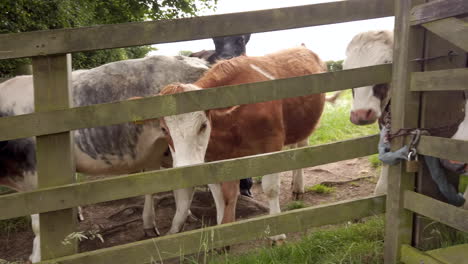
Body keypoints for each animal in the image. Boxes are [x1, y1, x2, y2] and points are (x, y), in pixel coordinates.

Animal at [159, 46, 328, 241]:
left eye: (203, 125)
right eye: (163, 129)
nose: (186, 170)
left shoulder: (272, 144)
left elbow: (270, 188)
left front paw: (277, 235)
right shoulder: (212, 159)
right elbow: (219, 195)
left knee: (301, 146)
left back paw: (298, 187)